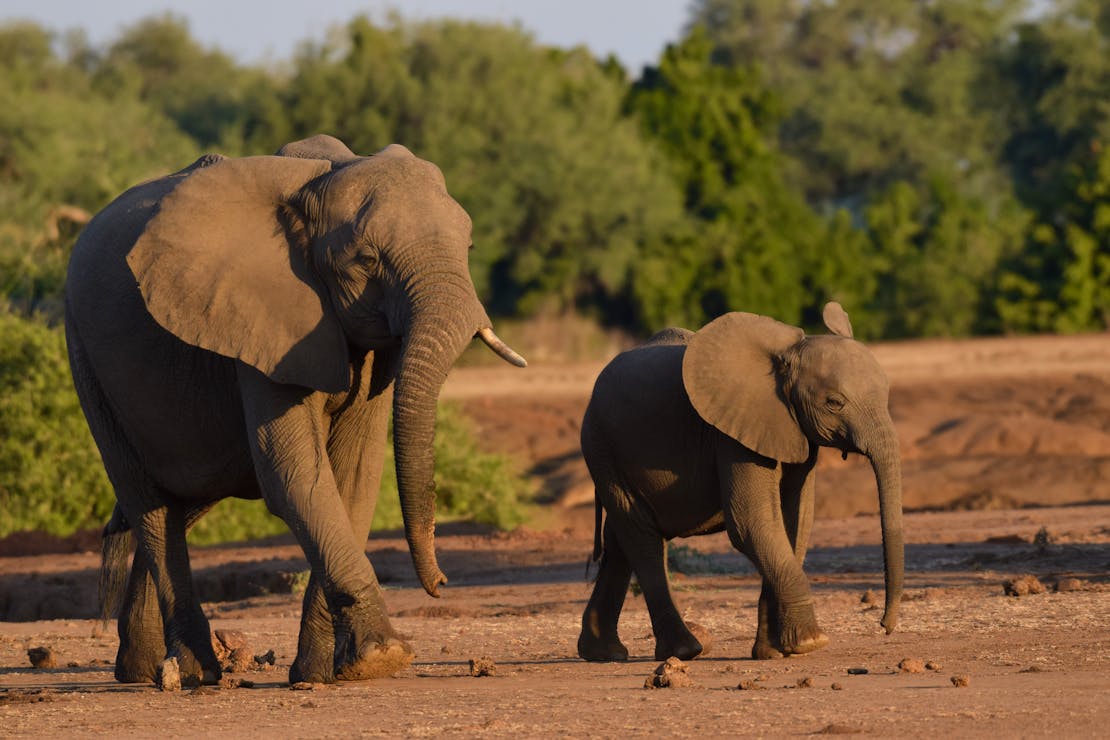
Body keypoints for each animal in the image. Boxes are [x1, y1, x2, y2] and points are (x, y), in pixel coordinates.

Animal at [64, 134, 526, 686]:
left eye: (469, 248)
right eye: (366, 260)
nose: (441, 582)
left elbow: (354, 478)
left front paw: (324, 673)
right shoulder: (259, 319)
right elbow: (295, 475)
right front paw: (384, 657)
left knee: (184, 495)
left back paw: (140, 669)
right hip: (86, 357)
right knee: (148, 500)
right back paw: (195, 673)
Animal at [576, 303, 903, 663]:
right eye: (834, 403)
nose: (885, 626)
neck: (785, 357)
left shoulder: (794, 430)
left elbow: (795, 522)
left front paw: (773, 652)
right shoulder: (732, 431)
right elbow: (752, 523)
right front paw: (810, 643)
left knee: (619, 535)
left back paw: (603, 652)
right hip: (601, 445)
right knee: (641, 537)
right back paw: (684, 650)